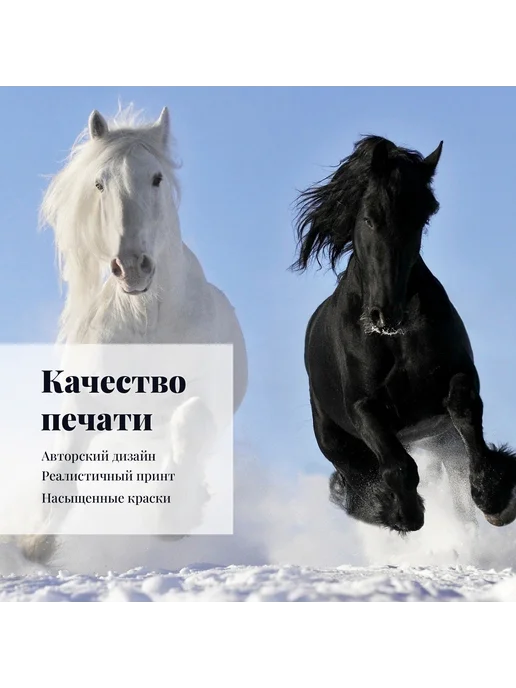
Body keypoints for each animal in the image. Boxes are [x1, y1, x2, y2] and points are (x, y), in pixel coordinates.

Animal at [19, 106, 248, 563]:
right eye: (99, 183)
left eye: (157, 178)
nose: (131, 267)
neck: (147, 320)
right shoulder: (85, 400)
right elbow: (64, 460)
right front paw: (37, 543)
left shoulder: (206, 395)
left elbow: (190, 423)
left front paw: (172, 519)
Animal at [291, 135, 516, 535]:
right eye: (369, 217)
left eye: (421, 219)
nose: (386, 314)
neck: (394, 339)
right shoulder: (363, 407)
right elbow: (397, 467)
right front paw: (401, 512)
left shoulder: (458, 377)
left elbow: (465, 411)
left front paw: (495, 497)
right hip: (336, 441)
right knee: (357, 480)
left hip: (440, 440)